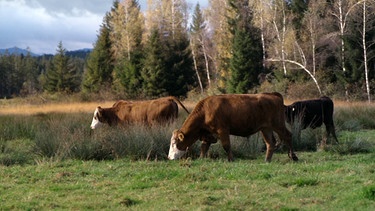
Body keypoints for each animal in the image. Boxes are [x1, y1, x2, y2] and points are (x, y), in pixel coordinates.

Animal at [168, 92, 300, 162]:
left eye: (175, 143)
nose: (169, 157)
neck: (205, 112)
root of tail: (273, 94)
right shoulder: (208, 134)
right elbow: (204, 147)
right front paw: (201, 158)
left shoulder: (223, 130)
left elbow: (226, 145)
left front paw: (231, 159)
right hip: (266, 128)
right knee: (270, 143)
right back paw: (267, 160)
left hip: (278, 124)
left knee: (288, 136)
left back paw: (293, 156)